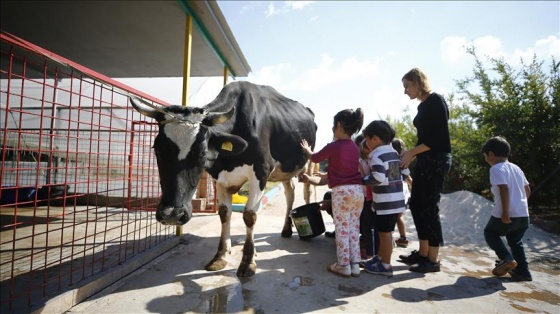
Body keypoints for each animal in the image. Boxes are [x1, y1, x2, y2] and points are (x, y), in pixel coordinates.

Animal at [129, 81, 318, 278]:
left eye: (202, 153)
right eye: (157, 150)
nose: (172, 215)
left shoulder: (262, 170)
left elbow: (249, 215)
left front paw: (248, 261)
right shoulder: (220, 177)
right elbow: (224, 213)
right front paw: (220, 256)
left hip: (309, 159)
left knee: (306, 190)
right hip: (285, 170)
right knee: (290, 192)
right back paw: (286, 228)